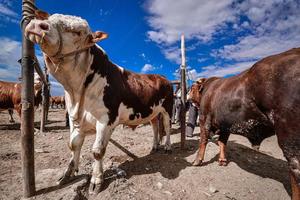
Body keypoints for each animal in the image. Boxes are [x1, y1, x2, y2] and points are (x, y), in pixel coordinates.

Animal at [25, 10, 173, 194]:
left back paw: (167, 147)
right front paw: (68, 174)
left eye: (78, 32)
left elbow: (97, 151)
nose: (37, 25)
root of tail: (162, 77)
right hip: (152, 111)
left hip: (168, 109)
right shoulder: (75, 119)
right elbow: (73, 145)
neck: (76, 93)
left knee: (167, 127)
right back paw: (154, 147)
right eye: (49, 19)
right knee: (155, 127)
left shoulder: (105, 120)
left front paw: (96, 180)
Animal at [188, 47, 300, 199]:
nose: (187, 96)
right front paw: (222, 160)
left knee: (295, 168)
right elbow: (222, 142)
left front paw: (197, 161)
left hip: (289, 135)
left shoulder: (204, 118)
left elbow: (203, 140)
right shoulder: (225, 124)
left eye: (191, 88)